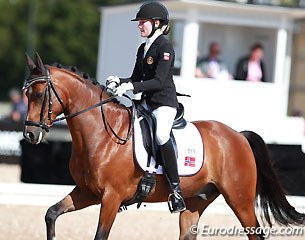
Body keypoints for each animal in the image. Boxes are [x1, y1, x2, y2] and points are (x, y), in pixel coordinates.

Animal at [22, 53, 302, 240]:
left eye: (38, 95)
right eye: (26, 95)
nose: (30, 135)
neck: (102, 134)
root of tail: (238, 136)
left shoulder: (111, 198)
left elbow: (100, 236)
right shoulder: (87, 192)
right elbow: (51, 213)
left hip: (240, 200)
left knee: (256, 233)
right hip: (194, 202)